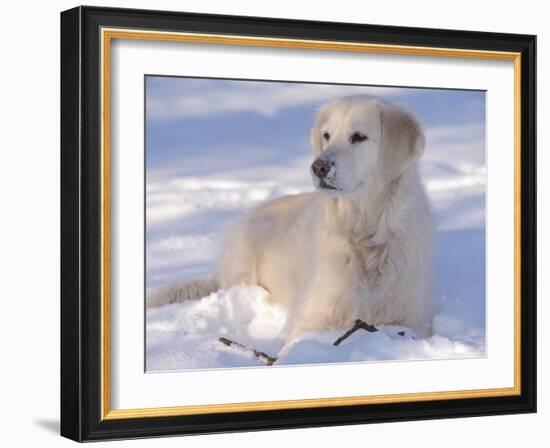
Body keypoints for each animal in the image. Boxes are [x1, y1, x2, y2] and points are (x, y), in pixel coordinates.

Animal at [147, 95, 436, 340]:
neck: (365, 230)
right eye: (327, 135)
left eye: (359, 137)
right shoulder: (312, 317)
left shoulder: (412, 319)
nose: (319, 167)